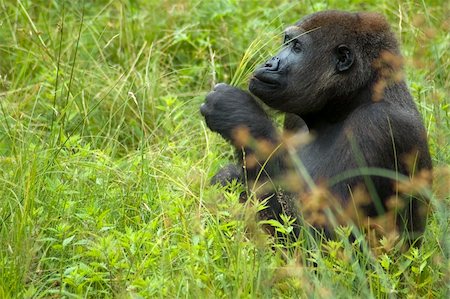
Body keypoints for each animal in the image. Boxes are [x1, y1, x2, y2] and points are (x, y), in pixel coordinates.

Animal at [200, 10, 432, 241]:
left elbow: (330, 233)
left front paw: (238, 113)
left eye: (297, 47)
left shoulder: (378, 124)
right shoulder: (295, 117)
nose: (270, 62)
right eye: (287, 42)